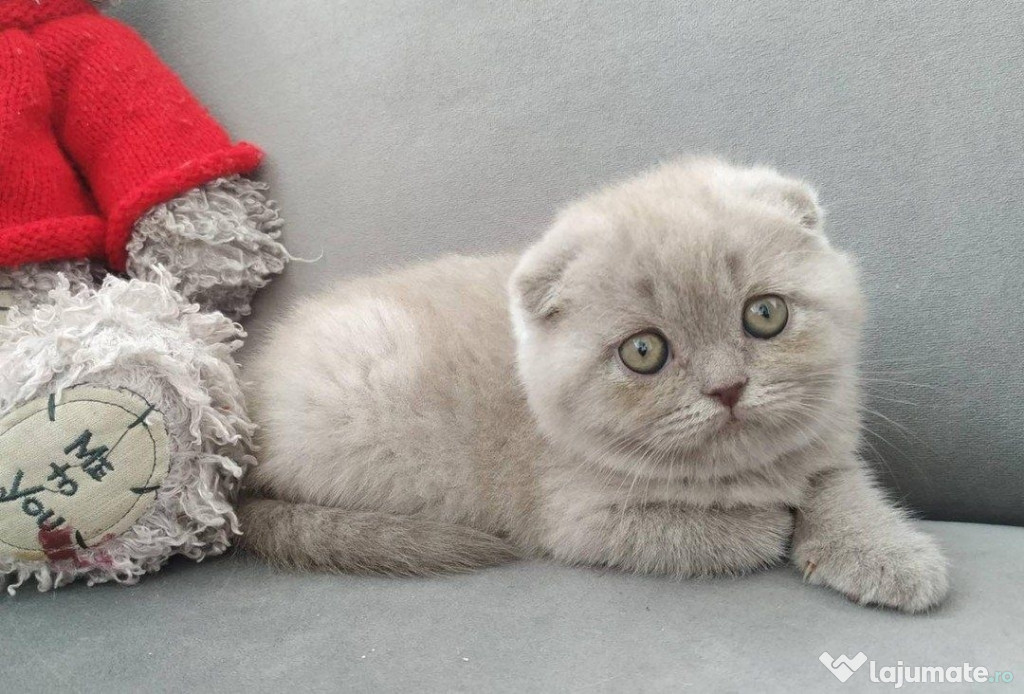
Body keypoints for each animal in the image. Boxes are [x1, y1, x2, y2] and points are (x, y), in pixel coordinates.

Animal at [241, 158, 950, 614]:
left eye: (765, 314)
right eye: (644, 351)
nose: (727, 388)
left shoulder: (827, 446)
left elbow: (843, 491)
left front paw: (892, 556)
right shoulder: (577, 517)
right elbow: (715, 532)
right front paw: (767, 522)